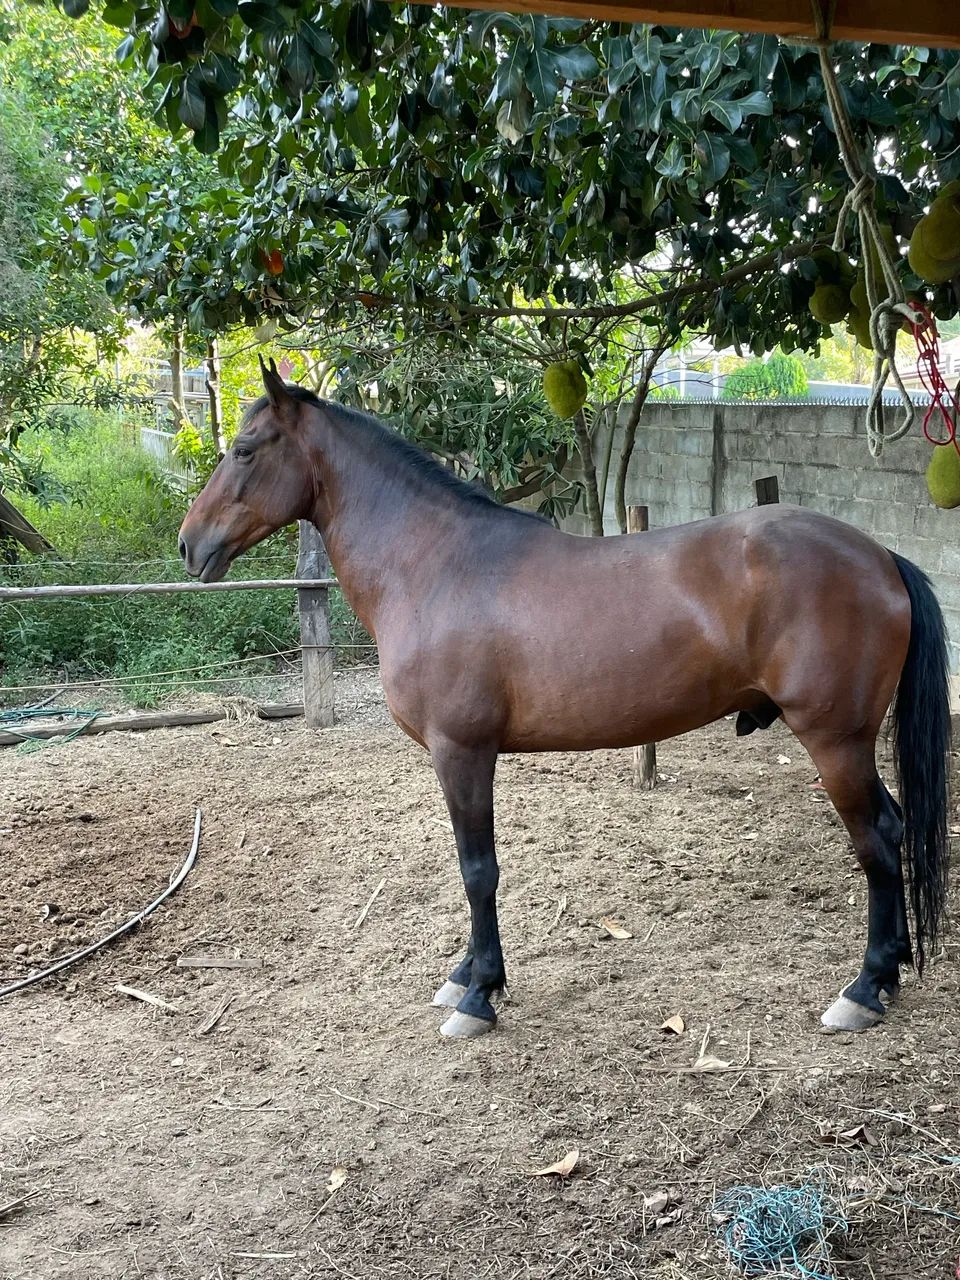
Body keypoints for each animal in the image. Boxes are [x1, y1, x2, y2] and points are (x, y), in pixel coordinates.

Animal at [178, 358, 951, 1039]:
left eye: (244, 451)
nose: (190, 546)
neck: (434, 564)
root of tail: (880, 557)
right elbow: (473, 868)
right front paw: (464, 975)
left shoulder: (462, 753)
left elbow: (478, 870)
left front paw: (480, 994)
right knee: (892, 830)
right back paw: (889, 972)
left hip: (835, 743)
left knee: (877, 839)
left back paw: (864, 988)